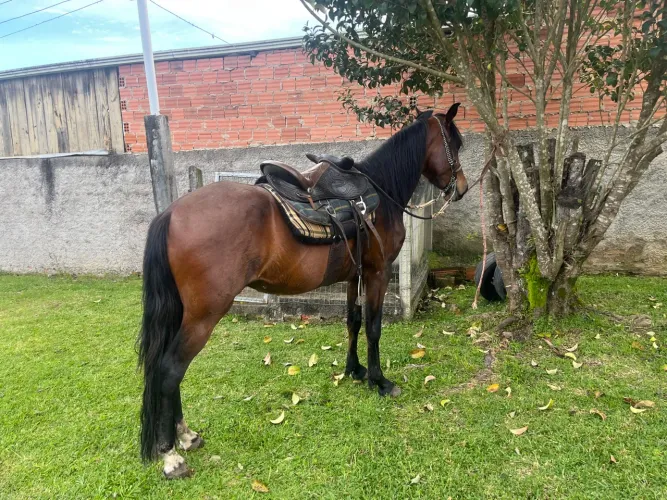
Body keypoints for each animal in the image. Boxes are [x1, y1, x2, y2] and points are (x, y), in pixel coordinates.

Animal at [137, 104, 468, 478]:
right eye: (455, 144)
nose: (461, 187)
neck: (380, 194)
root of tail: (171, 213)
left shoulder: (354, 275)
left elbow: (353, 322)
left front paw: (354, 371)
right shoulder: (377, 273)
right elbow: (373, 328)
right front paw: (379, 380)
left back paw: (186, 436)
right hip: (203, 316)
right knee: (169, 370)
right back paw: (171, 455)